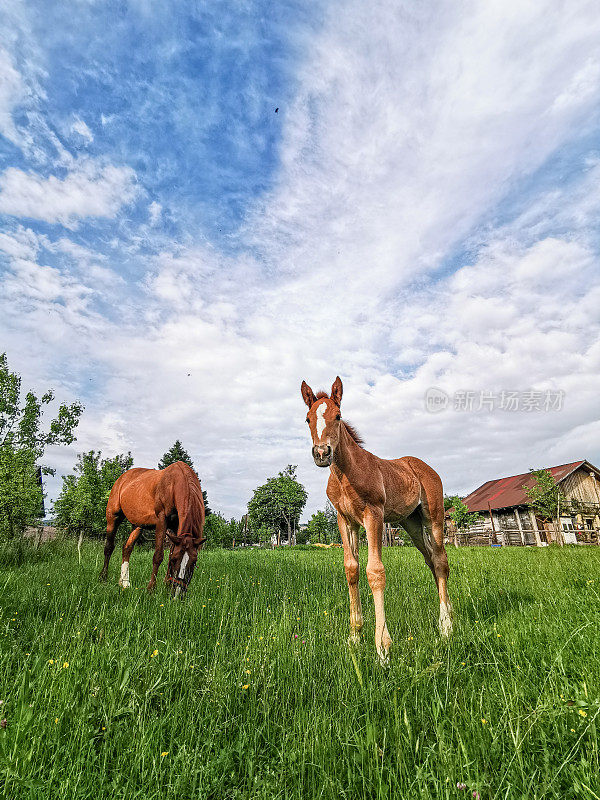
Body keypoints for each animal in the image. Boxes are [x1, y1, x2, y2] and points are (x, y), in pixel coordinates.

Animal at [98, 460, 206, 596]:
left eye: (194, 562)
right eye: (176, 560)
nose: (177, 593)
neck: (173, 485)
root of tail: (122, 478)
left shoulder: (175, 529)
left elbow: (169, 553)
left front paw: (166, 586)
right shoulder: (161, 521)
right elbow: (158, 556)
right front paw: (151, 589)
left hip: (138, 525)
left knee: (127, 548)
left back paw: (124, 583)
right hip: (113, 516)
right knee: (109, 547)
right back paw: (103, 578)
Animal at [300, 376, 450, 664]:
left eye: (338, 416)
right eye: (308, 418)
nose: (322, 453)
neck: (346, 474)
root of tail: (426, 467)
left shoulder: (374, 515)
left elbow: (375, 571)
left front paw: (383, 647)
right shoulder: (345, 520)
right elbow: (352, 569)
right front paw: (355, 637)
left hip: (433, 518)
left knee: (440, 561)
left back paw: (446, 625)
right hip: (411, 524)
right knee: (430, 560)